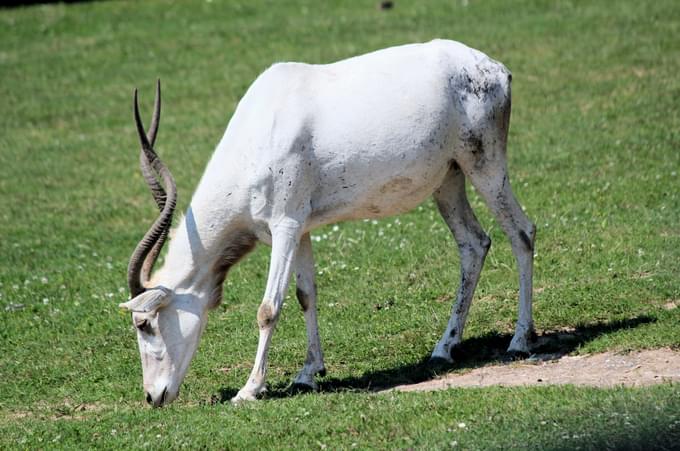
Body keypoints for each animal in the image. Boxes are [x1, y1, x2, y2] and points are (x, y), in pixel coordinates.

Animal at [121, 39, 536, 406]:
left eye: (144, 323)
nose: (153, 397)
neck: (257, 134)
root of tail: (495, 69)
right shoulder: (301, 229)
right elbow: (306, 295)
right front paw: (308, 373)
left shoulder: (285, 225)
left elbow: (268, 308)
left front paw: (249, 390)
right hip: (448, 180)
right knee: (474, 244)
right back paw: (444, 347)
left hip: (485, 166)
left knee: (521, 232)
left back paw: (520, 341)